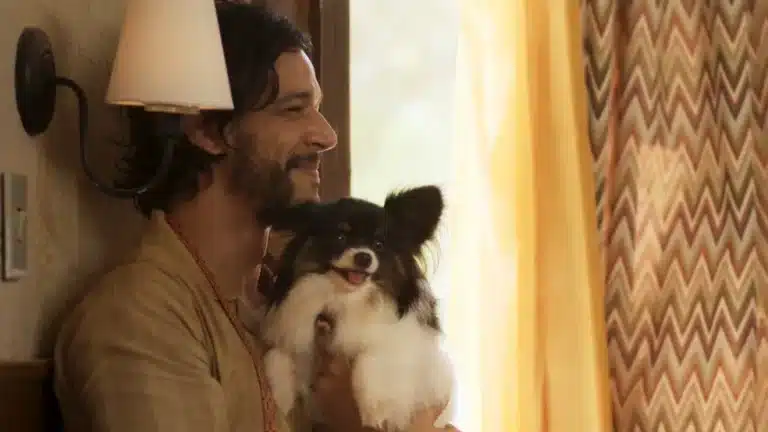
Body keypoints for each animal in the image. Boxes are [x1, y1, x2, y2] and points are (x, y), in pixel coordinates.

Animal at [260, 185, 455, 431]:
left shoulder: (417, 358)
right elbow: (277, 354)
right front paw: (282, 394)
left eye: (379, 245)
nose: (363, 257)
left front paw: (377, 409)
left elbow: (373, 354)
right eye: (340, 237)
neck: (346, 299)